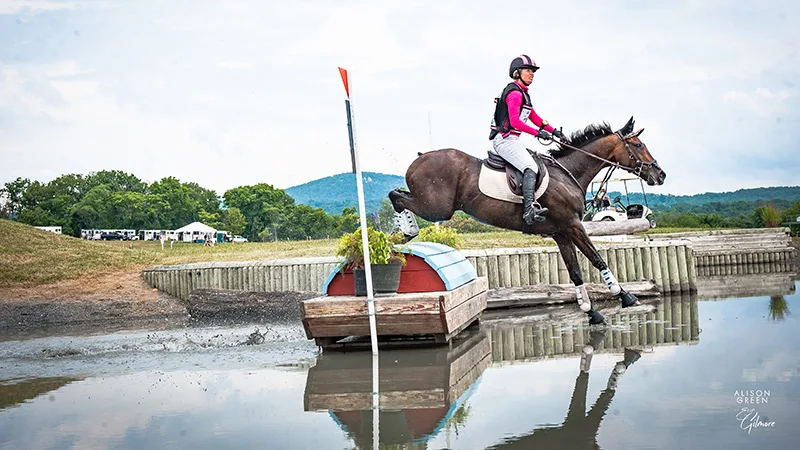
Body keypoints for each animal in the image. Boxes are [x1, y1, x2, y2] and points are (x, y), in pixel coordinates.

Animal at [390, 116, 664, 324]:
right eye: (638, 145)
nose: (660, 174)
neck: (569, 173)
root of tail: (418, 159)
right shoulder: (573, 226)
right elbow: (597, 259)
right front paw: (625, 296)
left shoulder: (561, 232)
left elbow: (575, 271)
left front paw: (591, 312)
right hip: (436, 208)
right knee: (396, 196)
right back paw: (407, 231)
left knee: (397, 195)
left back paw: (401, 232)